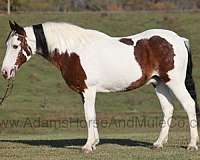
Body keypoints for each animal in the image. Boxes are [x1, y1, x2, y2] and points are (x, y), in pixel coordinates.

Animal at [1, 21, 200, 152]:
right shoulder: (85, 92)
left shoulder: (88, 90)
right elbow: (92, 115)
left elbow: (89, 115)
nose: (5, 72)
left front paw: (87, 146)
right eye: (7, 44)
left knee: (189, 105)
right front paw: (94, 142)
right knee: (168, 109)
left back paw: (191, 145)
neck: (73, 51)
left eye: (15, 45)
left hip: (175, 82)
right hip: (159, 83)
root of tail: (178, 38)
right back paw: (158, 143)